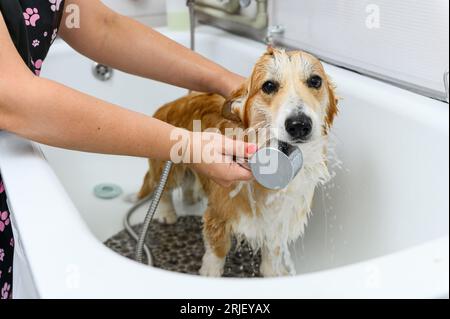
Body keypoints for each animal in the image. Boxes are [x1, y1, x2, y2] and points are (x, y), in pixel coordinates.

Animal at [139, 48, 340, 278]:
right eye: (268, 86)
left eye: (315, 81)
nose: (299, 124)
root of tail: (170, 104)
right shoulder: (219, 211)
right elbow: (217, 250)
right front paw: (210, 273)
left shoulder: (278, 220)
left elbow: (273, 251)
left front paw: (272, 273)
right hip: (172, 168)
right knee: (163, 189)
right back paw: (166, 213)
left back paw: (191, 198)